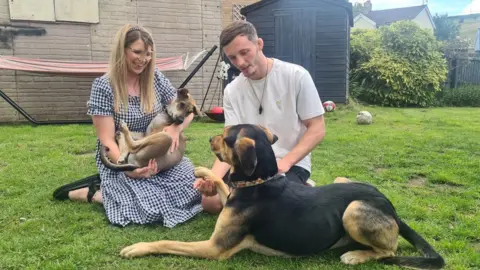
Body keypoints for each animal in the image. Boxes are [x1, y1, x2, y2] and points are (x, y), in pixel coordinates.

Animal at [118, 124, 444, 270]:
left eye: (225, 136)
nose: (210, 137)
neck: (259, 182)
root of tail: (392, 210)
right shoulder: (230, 197)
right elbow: (223, 184)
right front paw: (203, 172)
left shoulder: (214, 248)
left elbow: (166, 242)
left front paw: (138, 247)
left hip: (353, 210)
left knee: (388, 251)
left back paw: (356, 255)